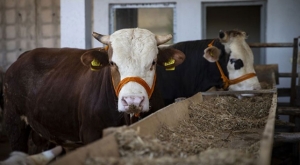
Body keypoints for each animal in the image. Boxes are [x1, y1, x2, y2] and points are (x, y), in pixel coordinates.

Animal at [2, 27, 185, 153]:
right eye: (112, 63)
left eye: (153, 62)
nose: (132, 100)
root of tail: (25, 55)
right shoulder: (91, 134)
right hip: (14, 123)